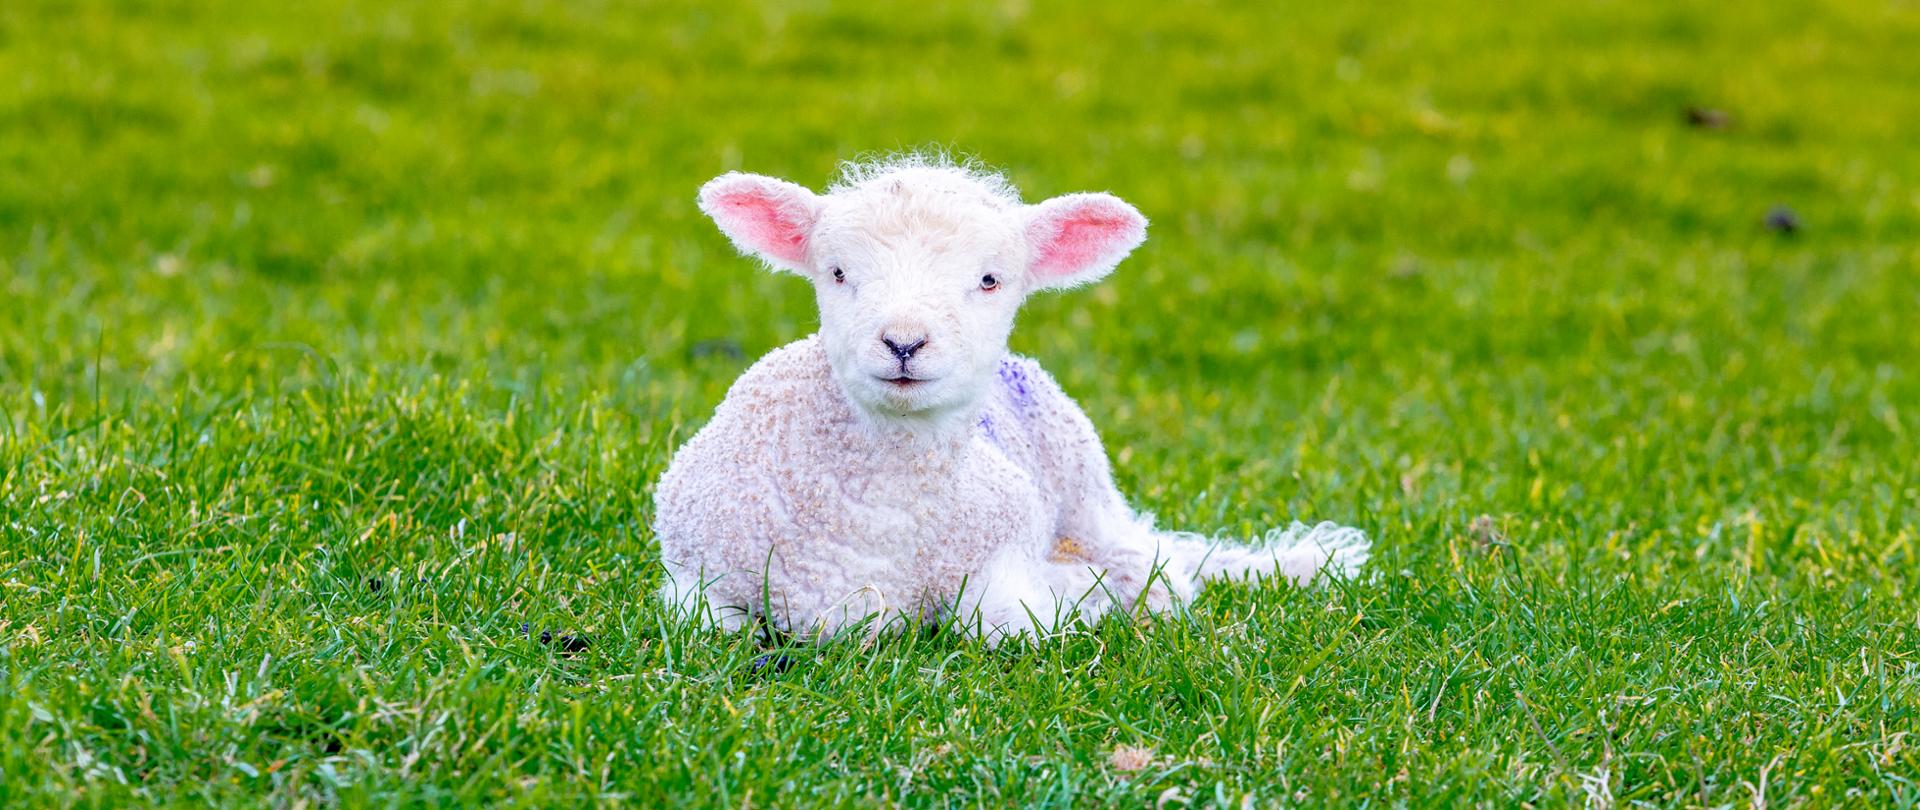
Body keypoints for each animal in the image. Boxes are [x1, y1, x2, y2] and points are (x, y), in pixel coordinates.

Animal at [652, 155, 1374, 641]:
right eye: (835, 273)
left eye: (990, 280)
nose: (904, 342)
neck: (882, 518)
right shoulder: (693, 572)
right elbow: (709, 624)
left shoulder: (1005, 545)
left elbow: (1005, 621)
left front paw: (1070, 597)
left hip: (1086, 489)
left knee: (1156, 565)